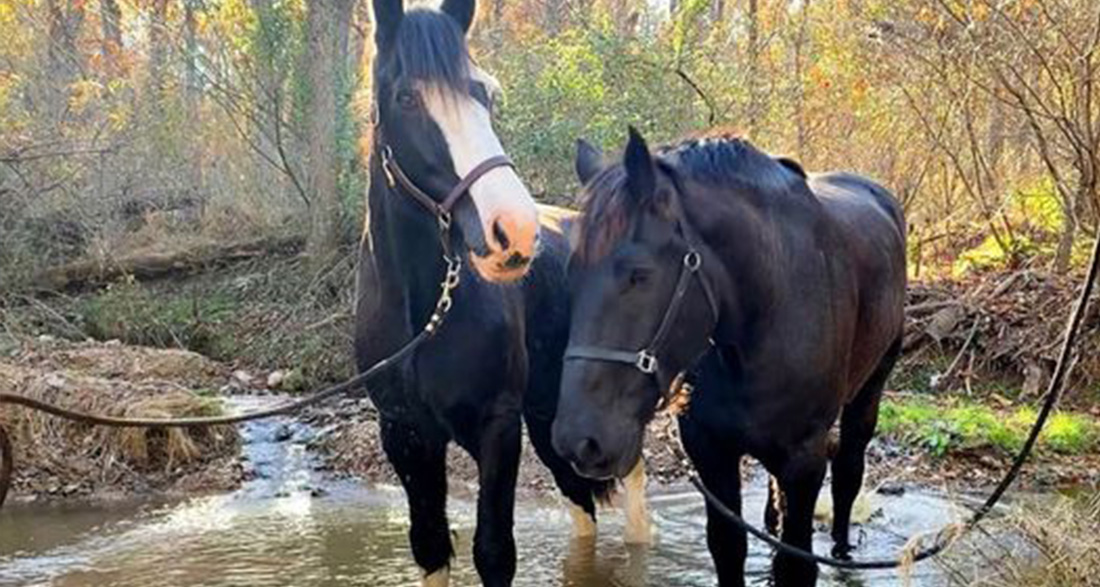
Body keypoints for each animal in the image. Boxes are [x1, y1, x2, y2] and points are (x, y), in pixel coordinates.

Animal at [352, 2, 629, 584]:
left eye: (487, 94)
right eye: (407, 98)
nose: (514, 230)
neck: (423, 312)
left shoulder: (497, 426)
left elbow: (494, 550)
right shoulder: (405, 435)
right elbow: (431, 544)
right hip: (548, 417)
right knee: (581, 506)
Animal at [550, 126, 902, 584]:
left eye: (639, 275)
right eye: (570, 274)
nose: (579, 441)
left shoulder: (805, 461)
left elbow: (796, 560)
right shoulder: (711, 451)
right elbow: (728, 546)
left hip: (869, 389)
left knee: (848, 473)